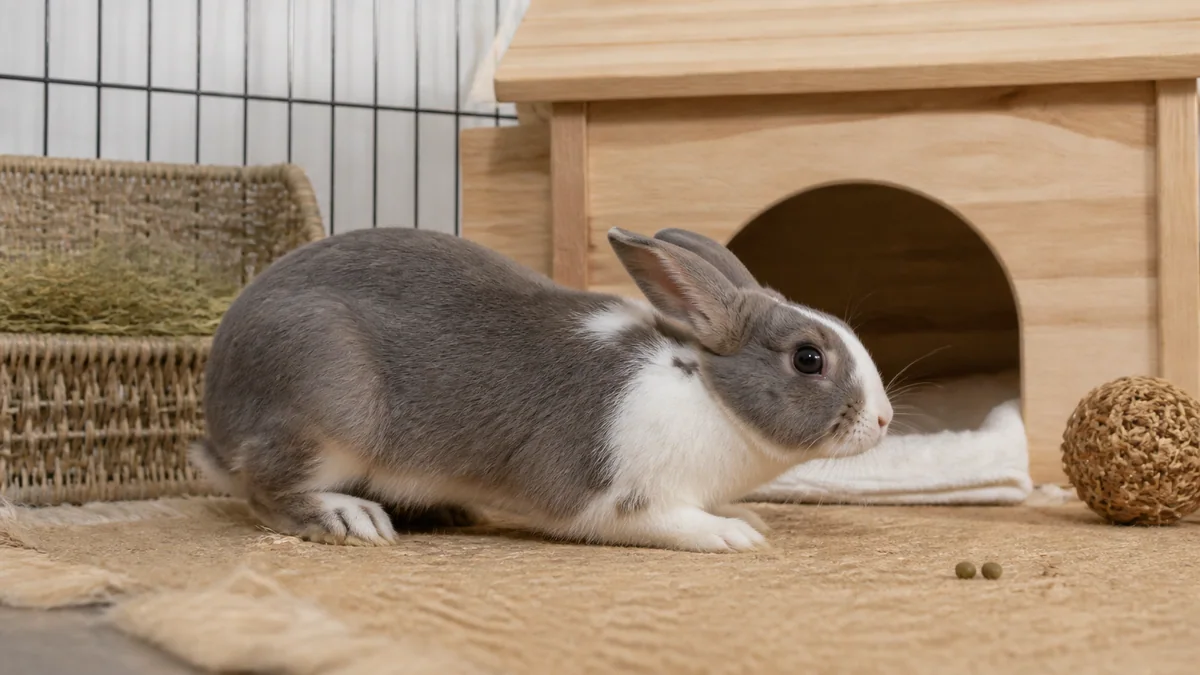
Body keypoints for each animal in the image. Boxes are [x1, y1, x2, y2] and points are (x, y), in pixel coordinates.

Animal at [190, 225, 893, 553]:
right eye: (808, 359)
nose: (885, 420)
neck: (711, 397)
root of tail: (218, 415)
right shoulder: (616, 498)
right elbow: (666, 519)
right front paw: (730, 535)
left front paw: (743, 516)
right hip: (331, 410)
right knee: (266, 488)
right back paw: (349, 519)